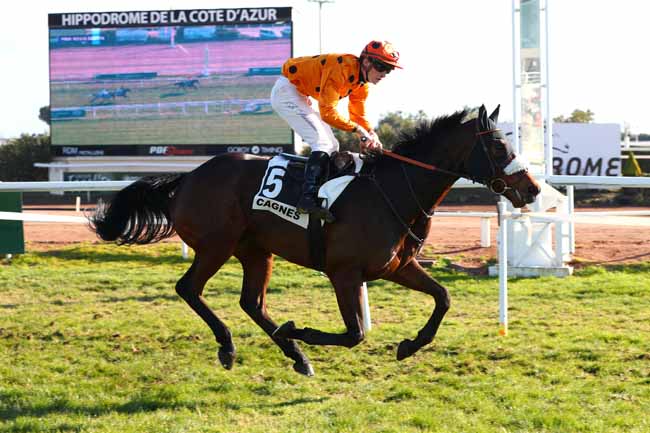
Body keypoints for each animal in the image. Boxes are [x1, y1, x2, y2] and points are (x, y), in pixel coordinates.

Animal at [90, 104, 536, 374]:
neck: (393, 191)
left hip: (257, 251)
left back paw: (296, 356)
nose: (530, 189)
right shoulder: (345, 273)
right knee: (189, 289)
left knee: (251, 303)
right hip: (217, 246)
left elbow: (442, 298)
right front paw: (299, 330)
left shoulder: (397, 267)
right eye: (499, 146)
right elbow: (355, 334)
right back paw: (231, 347)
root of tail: (186, 178)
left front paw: (410, 345)